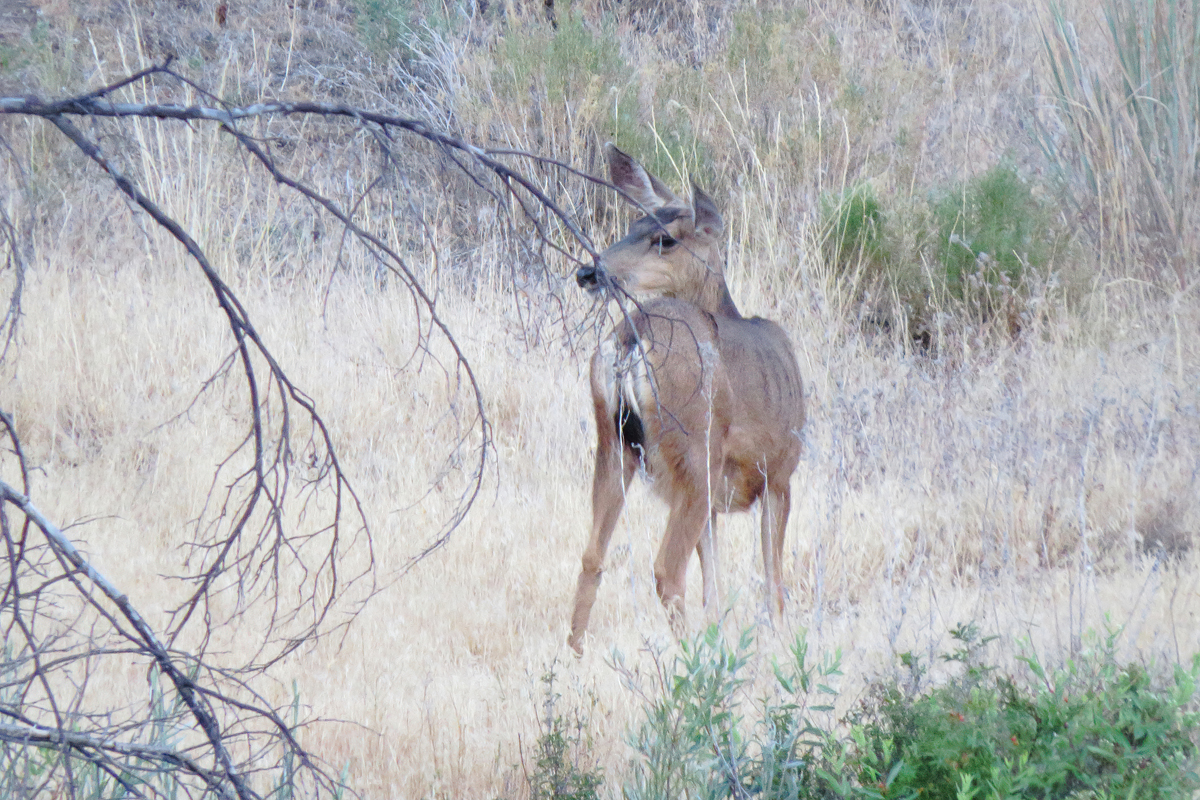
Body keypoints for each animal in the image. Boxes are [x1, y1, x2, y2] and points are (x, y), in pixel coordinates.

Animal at [568, 144, 806, 654]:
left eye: (663, 239)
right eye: (634, 226)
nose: (588, 271)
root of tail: (630, 340)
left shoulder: (720, 498)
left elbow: (714, 587)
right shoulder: (779, 471)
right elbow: (772, 582)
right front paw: (780, 648)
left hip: (614, 443)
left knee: (592, 554)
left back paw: (571, 655)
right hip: (696, 449)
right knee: (666, 570)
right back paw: (692, 660)